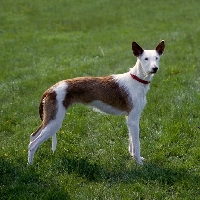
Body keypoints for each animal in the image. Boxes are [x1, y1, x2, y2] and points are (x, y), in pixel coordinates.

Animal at [28, 40, 166, 164]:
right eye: (145, 59)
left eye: (157, 58)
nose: (155, 68)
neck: (136, 79)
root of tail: (50, 89)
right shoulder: (133, 119)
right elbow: (137, 144)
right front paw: (140, 163)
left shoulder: (130, 118)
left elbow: (132, 143)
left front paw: (134, 157)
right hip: (54, 121)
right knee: (32, 145)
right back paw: (30, 167)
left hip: (49, 119)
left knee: (32, 136)